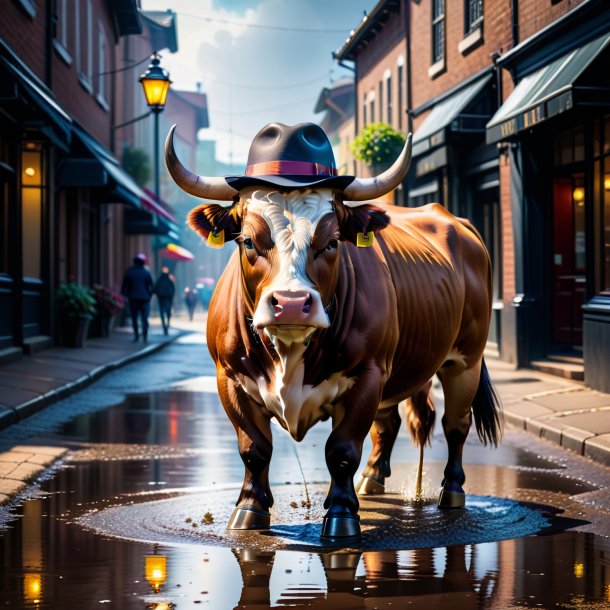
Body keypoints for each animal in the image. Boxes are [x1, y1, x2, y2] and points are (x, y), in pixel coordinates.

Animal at [165, 120, 498, 536]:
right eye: (248, 241)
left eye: (333, 242)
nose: (291, 303)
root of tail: (456, 221)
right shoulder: (230, 378)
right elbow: (254, 448)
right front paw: (250, 509)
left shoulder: (367, 375)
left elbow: (341, 450)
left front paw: (341, 515)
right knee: (389, 424)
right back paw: (372, 478)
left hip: (465, 360)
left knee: (456, 425)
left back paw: (451, 491)